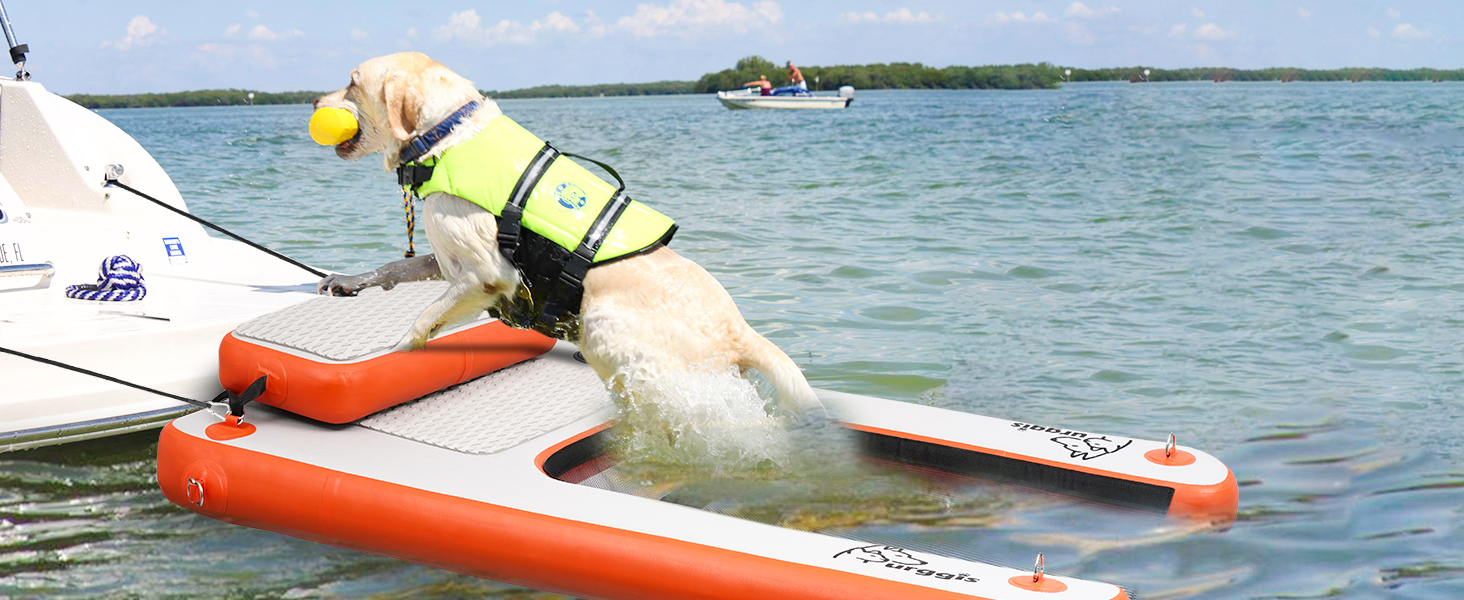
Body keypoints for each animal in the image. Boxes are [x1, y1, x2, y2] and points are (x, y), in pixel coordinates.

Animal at [313, 55, 825, 421]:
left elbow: (422, 321)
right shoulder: (446, 259)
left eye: (352, 81)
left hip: (601, 322)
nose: (315, 102)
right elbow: (396, 266)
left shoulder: (486, 274)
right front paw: (349, 281)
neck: (445, 135)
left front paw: (388, 360)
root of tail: (741, 331)